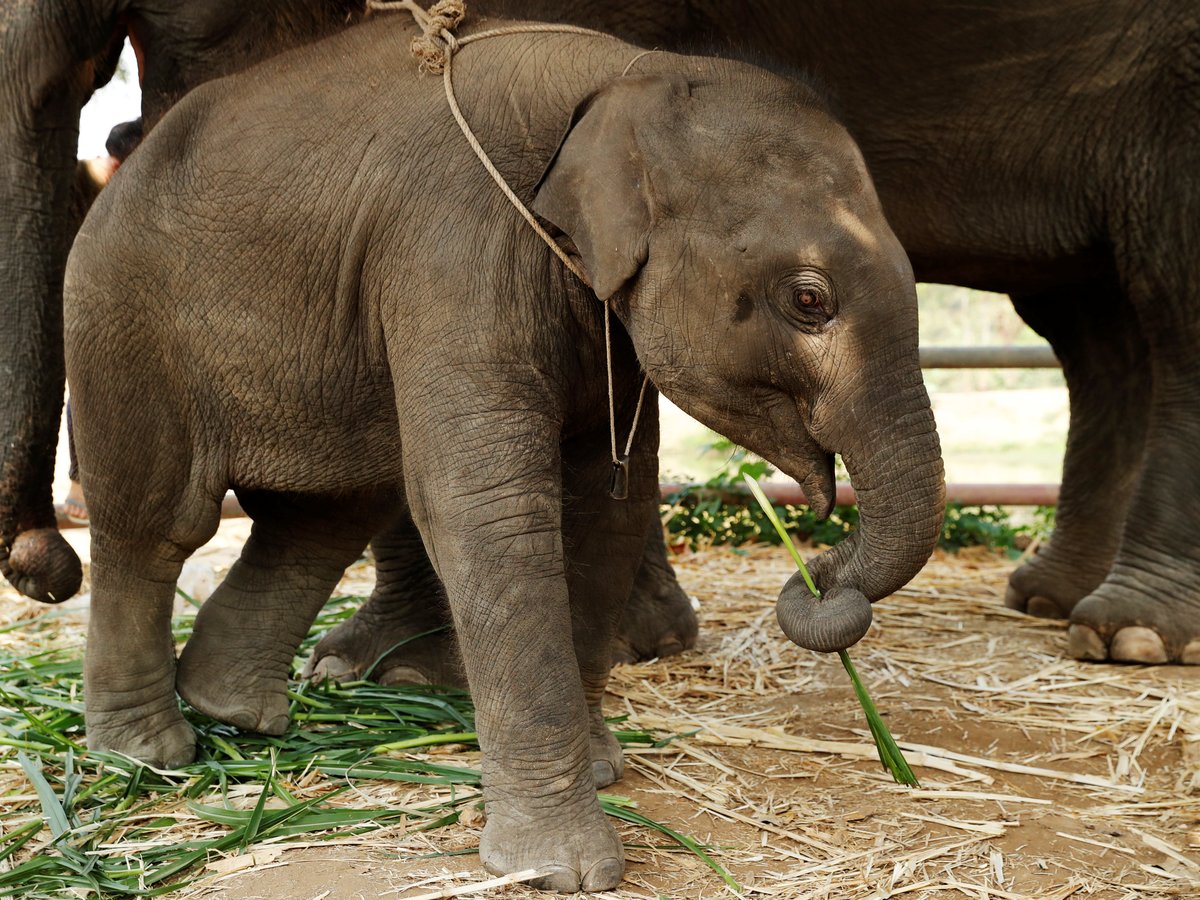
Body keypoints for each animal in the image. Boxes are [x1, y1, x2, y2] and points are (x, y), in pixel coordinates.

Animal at [2, 1, 1200, 672]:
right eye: (810, 302)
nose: (43, 566)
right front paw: (401, 667)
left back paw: (1124, 636)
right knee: (1099, 327)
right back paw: (1056, 601)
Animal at [65, 8, 945, 897]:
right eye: (809, 299)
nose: (819, 575)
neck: (621, 78)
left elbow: (610, 502)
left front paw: (602, 769)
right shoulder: (452, 253)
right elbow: (490, 512)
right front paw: (564, 867)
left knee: (324, 518)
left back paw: (234, 711)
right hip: (121, 314)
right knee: (158, 521)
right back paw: (150, 755)